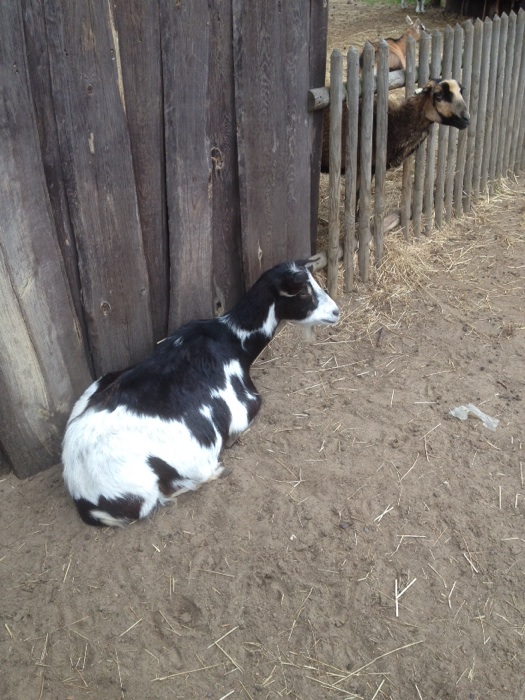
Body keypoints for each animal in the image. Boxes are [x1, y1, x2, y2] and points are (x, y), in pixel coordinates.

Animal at [62, 260, 340, 528]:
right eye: (302, 292)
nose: (336, 311)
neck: (233, 340)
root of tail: (82, 496)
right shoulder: (243, 407)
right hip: (144, 484)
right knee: (161, 498)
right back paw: (213, 471)